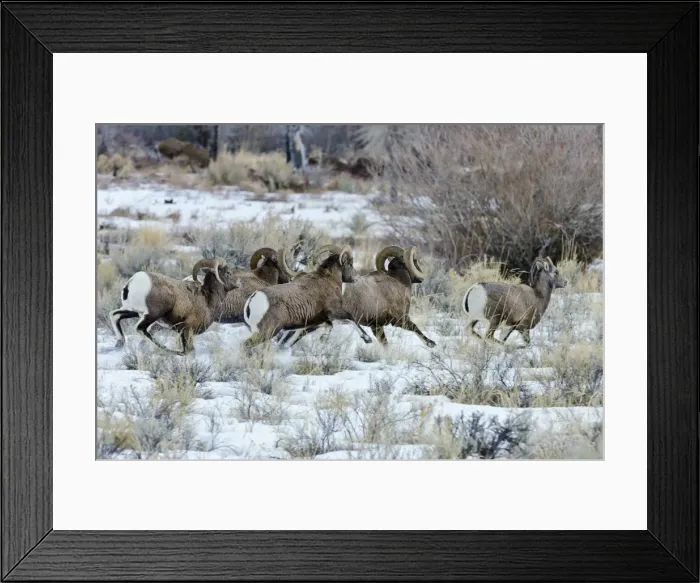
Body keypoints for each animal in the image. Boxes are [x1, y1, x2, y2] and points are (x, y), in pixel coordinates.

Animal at [109, 258, 241, 355]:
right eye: (228, 273)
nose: (239, 282)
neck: (208, 298)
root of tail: (132, 282)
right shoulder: (187, 330)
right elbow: (189, 351)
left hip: (133, 311)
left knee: (114, 315)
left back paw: (120, 342)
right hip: (152, 314)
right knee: (140, 329)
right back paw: (166, 349)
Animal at [242, 245, 373, 351]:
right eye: (350, 264)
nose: (356, 278)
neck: (328, 279)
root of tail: (253, 300)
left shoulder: (317, 320)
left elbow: (328, 326)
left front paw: (323, 338)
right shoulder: (335, 311)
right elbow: (351, 318)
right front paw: (367, 339)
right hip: (267, 332)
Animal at [277, 245, 435, 348]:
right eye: (415, 261)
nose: (420, 278)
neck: (397, 283)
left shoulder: (376, 327)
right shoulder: (399, 320)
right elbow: (415, 328)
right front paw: (431, 344)